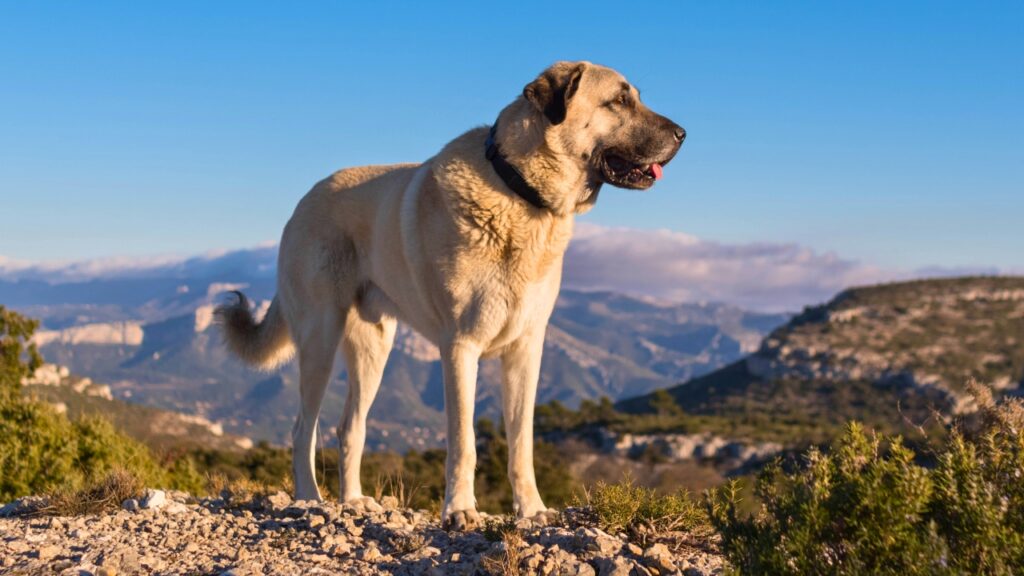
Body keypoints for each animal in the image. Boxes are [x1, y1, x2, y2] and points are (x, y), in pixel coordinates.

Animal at [215, 60, 684, 528]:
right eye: (619, 100)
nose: (683, 133)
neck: (518, 193)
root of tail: (304, 200)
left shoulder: (525, 352)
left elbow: (522, 444)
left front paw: (532, 509)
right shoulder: (461, 348)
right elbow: (464, 441)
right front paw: (460, 509)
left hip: (373, 348)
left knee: (350, 427)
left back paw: (353, 500)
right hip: (320, 340)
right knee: (303, 429)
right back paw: (310, 498)